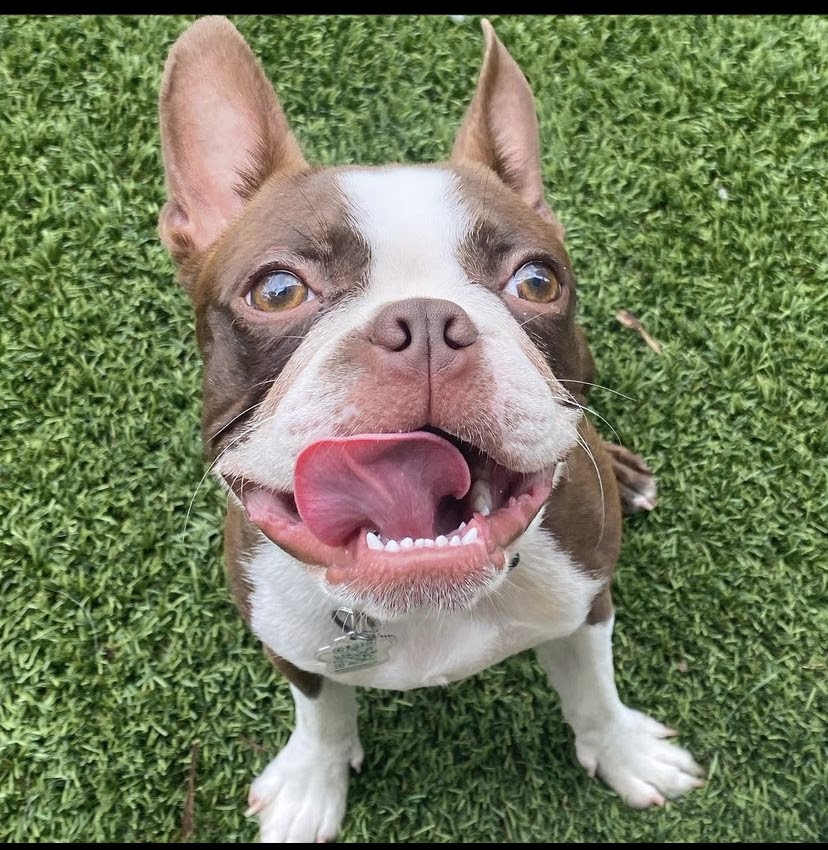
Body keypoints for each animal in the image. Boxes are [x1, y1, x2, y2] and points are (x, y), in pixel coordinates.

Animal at [157, 16, 703, 841]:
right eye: (278, 291)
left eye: (537, 281)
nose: (423, 322)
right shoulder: (289, 644)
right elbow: (321, 715)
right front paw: (312, 784)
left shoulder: (586, 602)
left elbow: (593, 691)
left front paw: (624, 753)